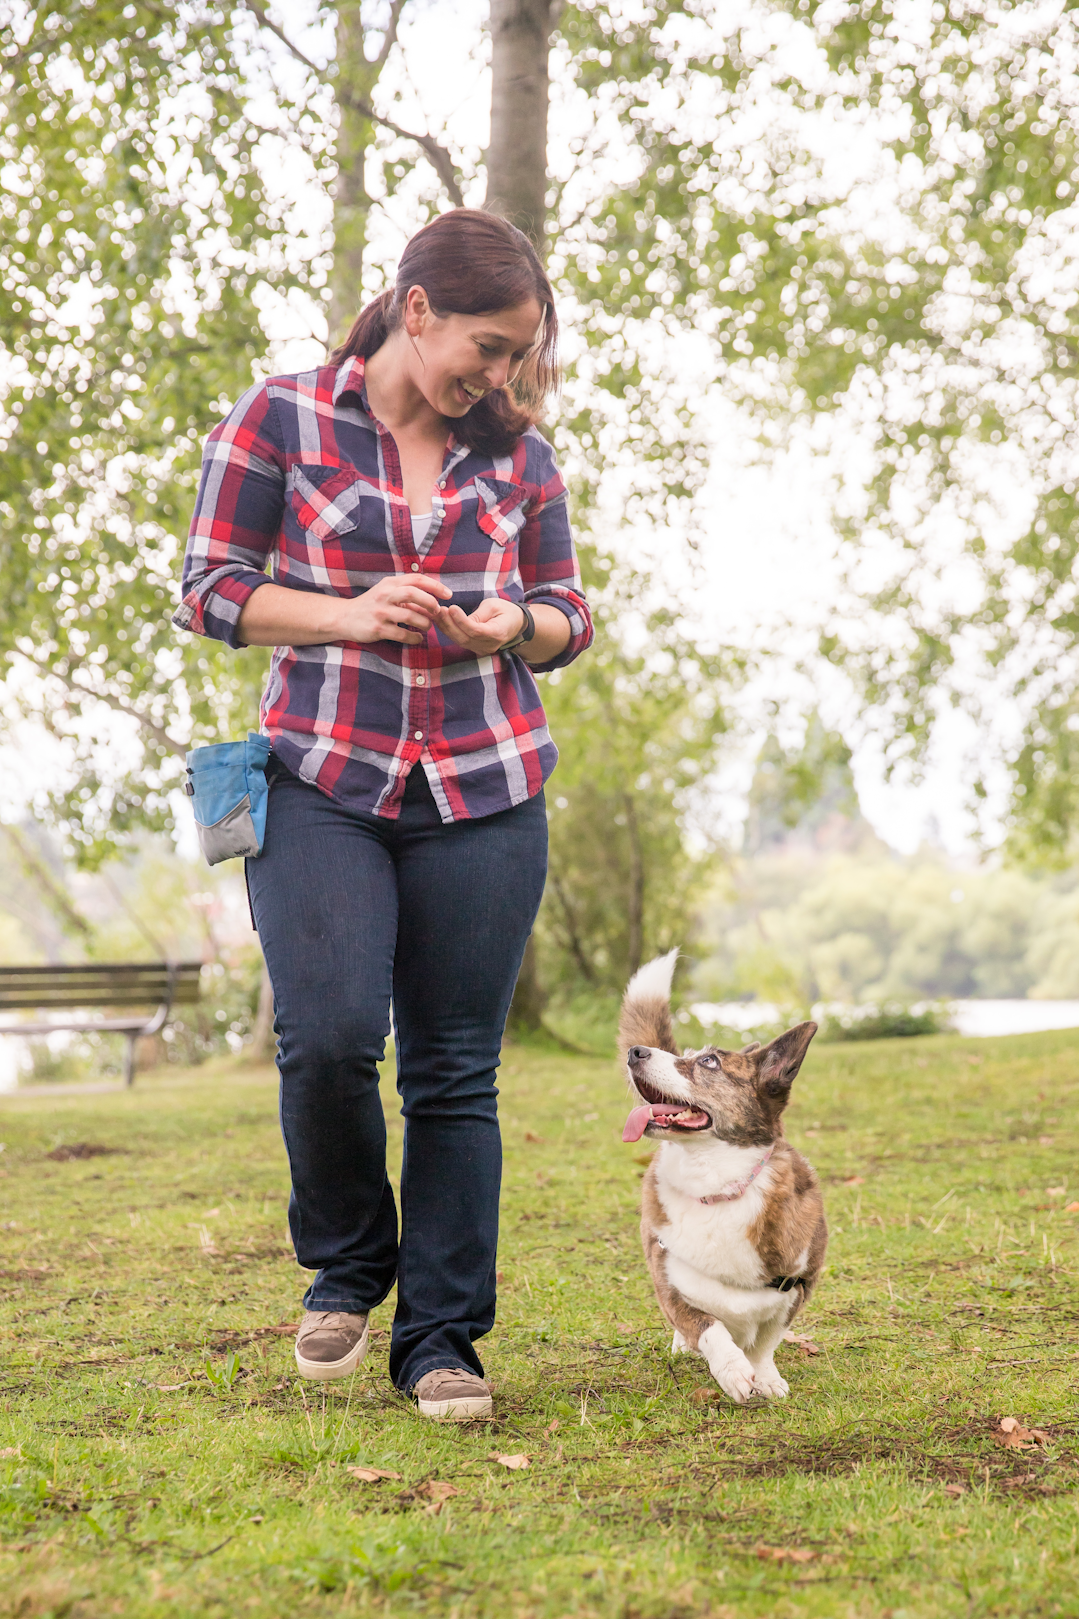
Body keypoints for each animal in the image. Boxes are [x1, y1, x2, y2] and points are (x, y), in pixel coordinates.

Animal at [615, 945, 829, 1405]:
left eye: (708, 1062)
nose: (637, 1052)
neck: (716, 1185)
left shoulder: (798, 1288)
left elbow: (767, 1341)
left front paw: (765, 1376)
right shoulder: (670, 1285)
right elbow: (707, 1326)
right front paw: (732, 1369)